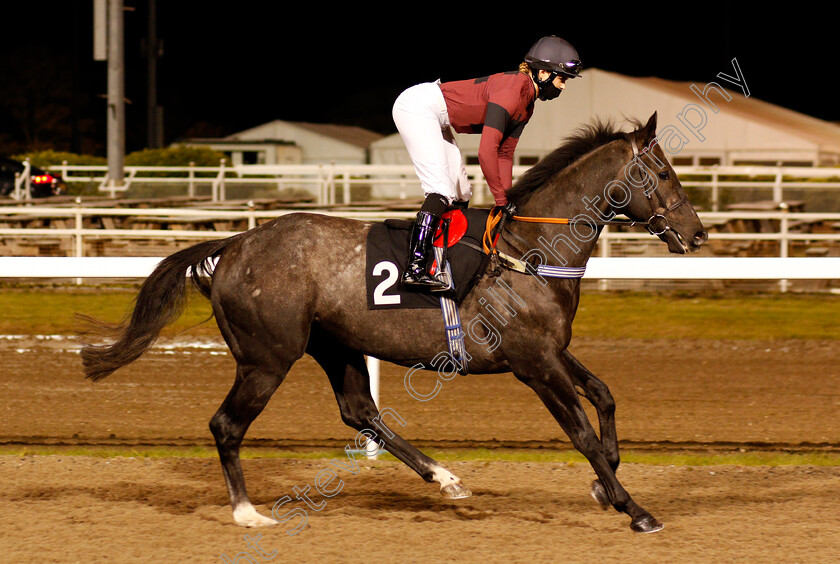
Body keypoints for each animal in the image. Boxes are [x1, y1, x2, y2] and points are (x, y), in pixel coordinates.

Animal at [80, 111, 708, 532]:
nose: (698, 234)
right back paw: (247, 512)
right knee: (226, 425)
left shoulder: (551, 350)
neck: (528, 250)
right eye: (663, 173)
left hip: (335, 346)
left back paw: (445, 478)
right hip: (266, 358)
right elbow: (580, 432)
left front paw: (607, 484)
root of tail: (234, 246)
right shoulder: (533, 363)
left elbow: (603, 394)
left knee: (360, 412)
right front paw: (633, 507)